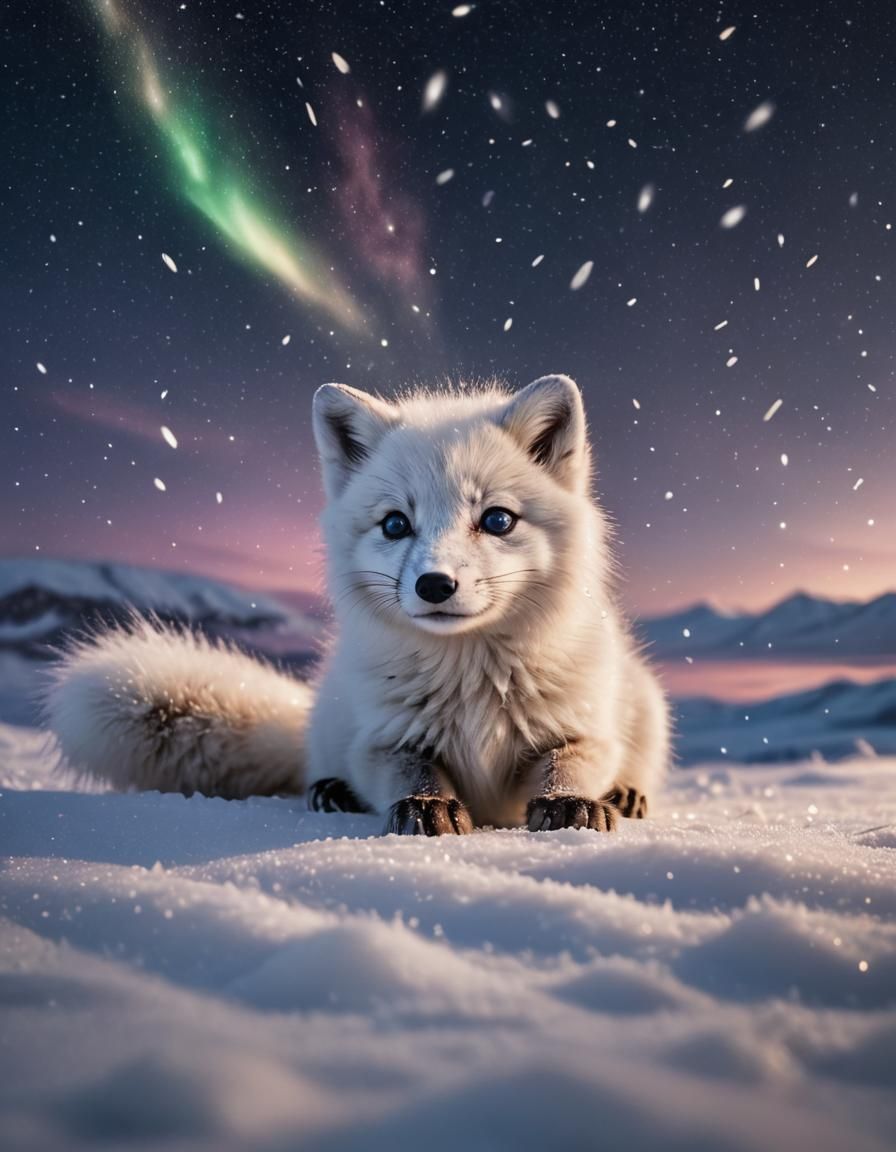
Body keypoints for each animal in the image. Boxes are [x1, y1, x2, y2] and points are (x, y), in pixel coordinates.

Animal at [45, 374, 669, 835]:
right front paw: (426, 807)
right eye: (395, 524)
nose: (434, 585)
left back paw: (628, 794)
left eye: (497, 520)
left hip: (648, 705)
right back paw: (331, 790)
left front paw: (569, 802)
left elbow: (569, 762)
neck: (470, 682)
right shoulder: (383, 739)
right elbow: (412, 770)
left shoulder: (584, 730)